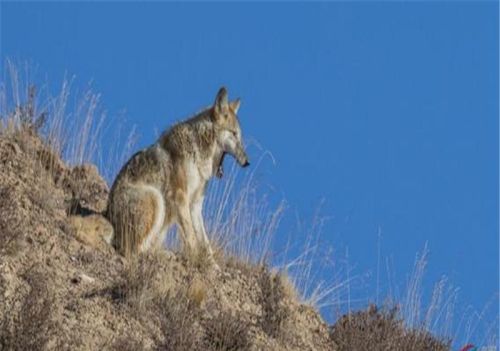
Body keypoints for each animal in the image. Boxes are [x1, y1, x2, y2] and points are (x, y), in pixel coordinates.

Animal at [106, 87, 250, 264]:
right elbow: (191, 238)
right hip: (156, 198)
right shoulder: (180, 197)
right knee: (133, 251)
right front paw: (195, 261)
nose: (247, 161)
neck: (198, 152)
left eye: (239, 136)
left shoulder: (195, 204)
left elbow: (205, 242)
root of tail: (108, 216)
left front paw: (213, 266)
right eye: (234, 134)